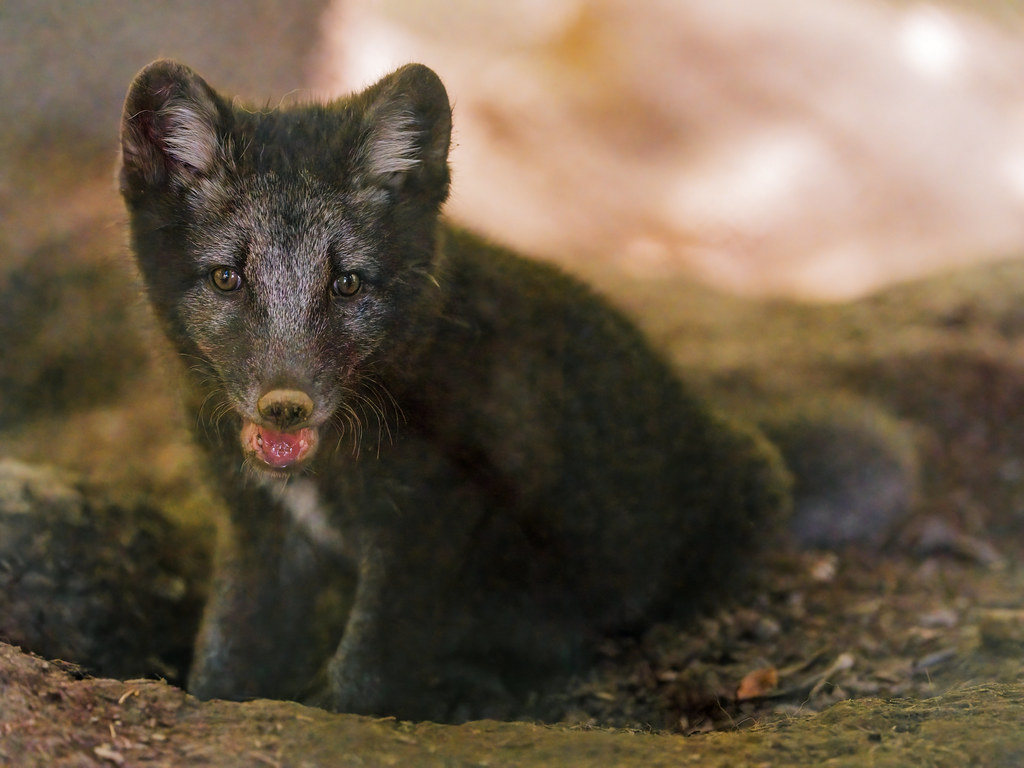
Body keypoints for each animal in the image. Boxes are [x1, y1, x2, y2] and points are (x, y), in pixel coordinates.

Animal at [118, 59, 791, 722]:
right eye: (226, 278)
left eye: (347, 283)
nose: (285, 406)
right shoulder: (255, 522)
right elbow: (228, 645)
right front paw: (212, 698)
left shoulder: (434, 507)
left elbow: (366, 663)